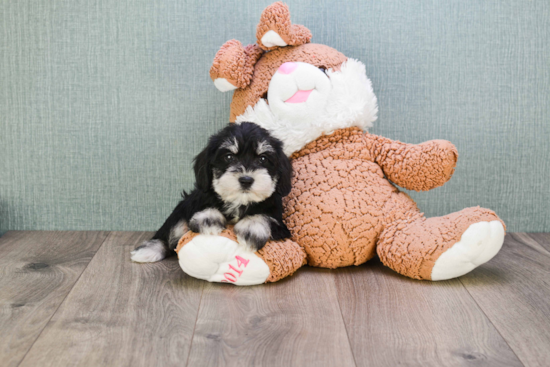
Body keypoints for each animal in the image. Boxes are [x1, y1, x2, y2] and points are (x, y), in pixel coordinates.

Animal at [130, 122, 294, 264]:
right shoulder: (197, 199)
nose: (246, 180)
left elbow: (265, 215)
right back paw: (148, 251)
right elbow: (203, 207)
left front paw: (251, 229)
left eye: (263, 158)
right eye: (229, 157)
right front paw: (208, 219)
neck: (238, 202)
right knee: (171, 232)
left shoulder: (279, 222)